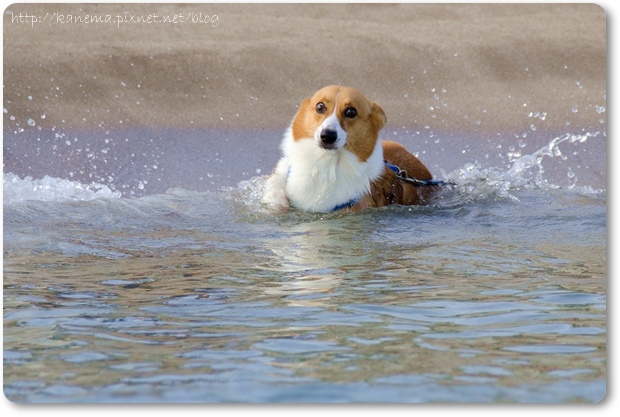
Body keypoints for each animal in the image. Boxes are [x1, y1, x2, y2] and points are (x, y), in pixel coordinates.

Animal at [262, 85, 435, 212]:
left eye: (351, 111)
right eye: (319, 106)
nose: (327, 136)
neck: (326, 163)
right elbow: (276, 180)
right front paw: (276, 200)